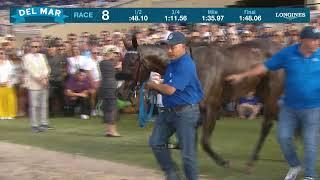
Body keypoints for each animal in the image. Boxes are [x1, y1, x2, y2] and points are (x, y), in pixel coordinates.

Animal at [119, 39, 284, 170]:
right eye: (122, 62)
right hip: (263, 92)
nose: (121, 92)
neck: (193, 65)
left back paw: (251, 162)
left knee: (267, 124)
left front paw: (223, 162)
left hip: (271, 93)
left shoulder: (211, 107)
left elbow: (204, 141)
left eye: (132, 63)